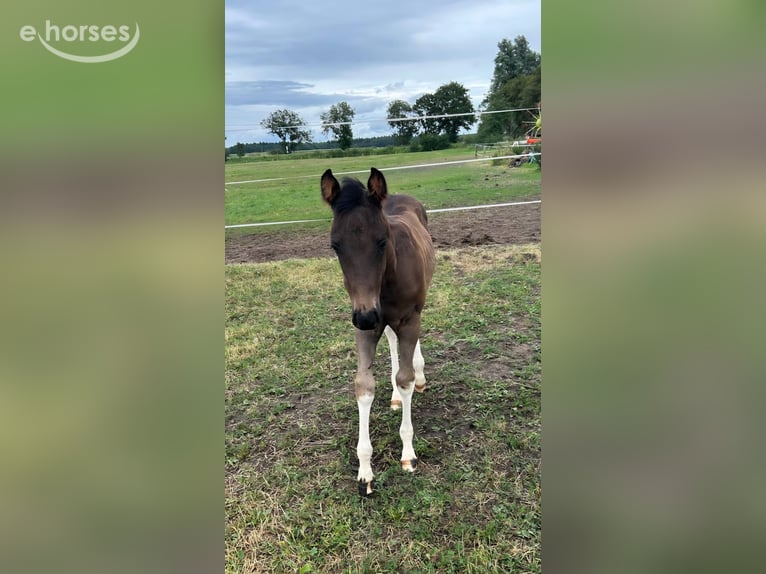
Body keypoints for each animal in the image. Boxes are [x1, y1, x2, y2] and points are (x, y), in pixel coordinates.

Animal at [321, 167, 435, 496]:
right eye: (336, 246)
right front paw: (365, 472)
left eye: (382, 241)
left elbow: (406, 377)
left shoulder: (409, 319)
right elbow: (364, 385)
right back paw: (396, 397)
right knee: (392, 340)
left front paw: (408, 454)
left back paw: (419, 377)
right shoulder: (363, 327)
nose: (365, 315)